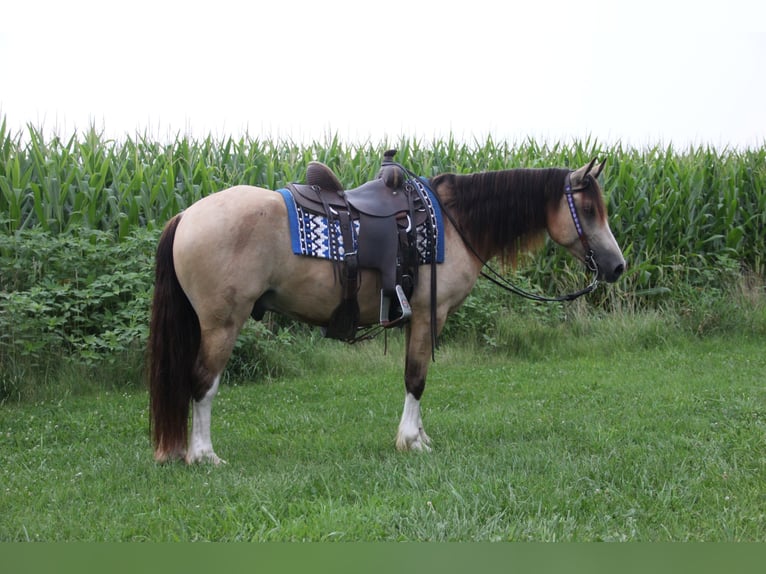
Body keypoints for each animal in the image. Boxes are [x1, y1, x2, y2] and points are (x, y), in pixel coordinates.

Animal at [147, 155, 628, 466]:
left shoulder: (417, 319)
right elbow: (416, 379)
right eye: (588, 208)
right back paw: (204, 455)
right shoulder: (429, 315)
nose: (617, 266)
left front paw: (420, 436)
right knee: (203, 383)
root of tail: (186, 216)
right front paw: (411, 442)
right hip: (221, 323)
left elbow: (415, 378)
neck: (452, 222)